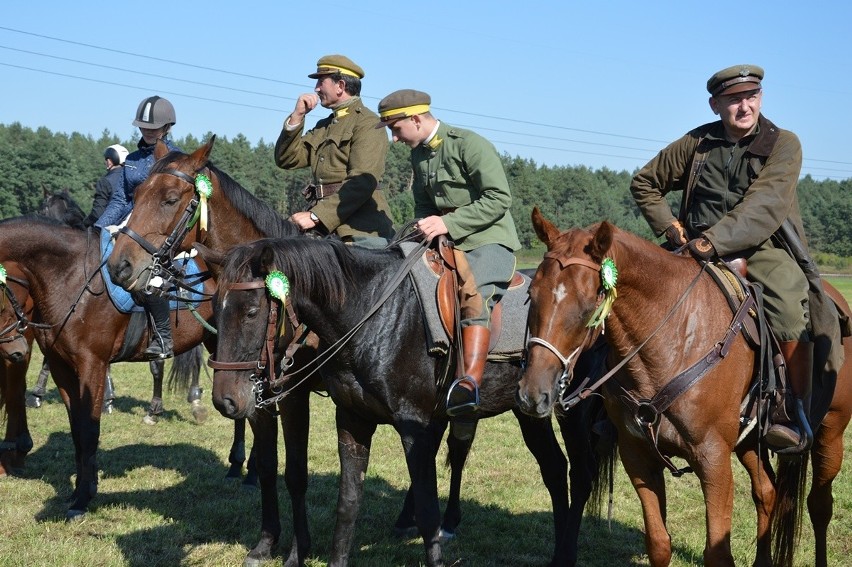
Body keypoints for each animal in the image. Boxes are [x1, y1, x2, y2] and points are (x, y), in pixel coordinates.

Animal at [0, 217, 220, 520]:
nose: (15, 347)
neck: (69, 278)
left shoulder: (92, 363)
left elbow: (90, 429)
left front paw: (82, 499)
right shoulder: (61, 367)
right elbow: (77, 429)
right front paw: (80, 489)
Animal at [204, 236, 608, 567]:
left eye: (252, 312)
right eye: (216, 308)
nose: (226, 400)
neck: (370, 313)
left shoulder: (416, 427)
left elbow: (428, 510)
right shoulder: (352, 420)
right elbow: (348, 502)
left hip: (570, 412)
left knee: (579, 474)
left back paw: (567, 553)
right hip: (530, 410)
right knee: (554, 469)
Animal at [512, 209, 852, 567]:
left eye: (588, 306)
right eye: (532, 295)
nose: (532, 394)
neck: (674, 339)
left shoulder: (713, 459)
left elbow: (718, 551)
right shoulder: (638, 455)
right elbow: (659, 543)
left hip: (831, 430)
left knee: (819, 505)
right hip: (748, 442)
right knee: (766, 492)